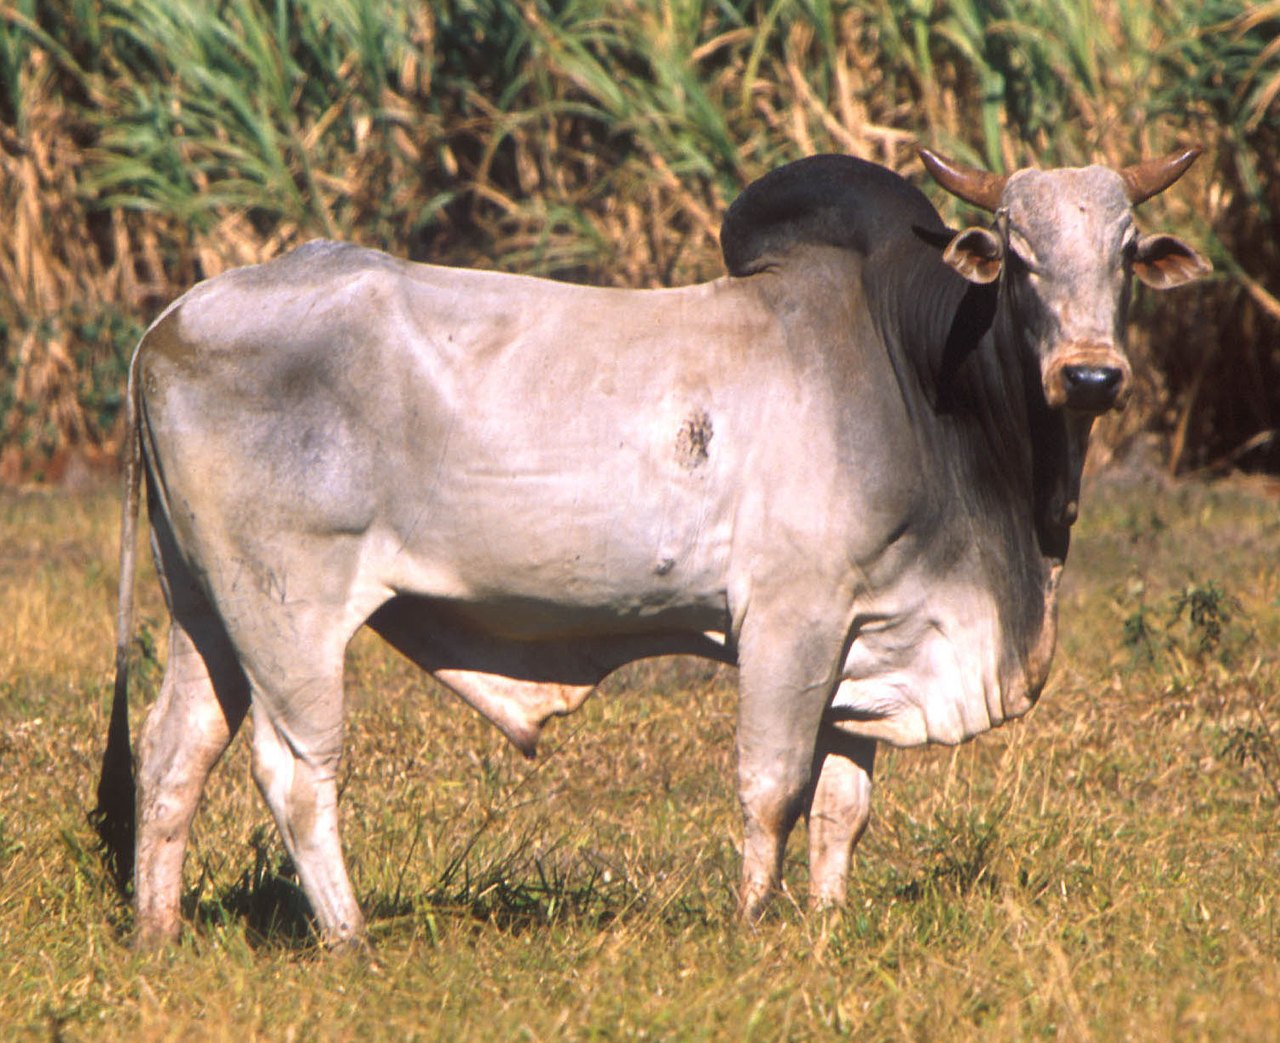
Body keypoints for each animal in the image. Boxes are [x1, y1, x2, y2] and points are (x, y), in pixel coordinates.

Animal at [95, 147, 1211, 949]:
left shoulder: (869, 636)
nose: (1092, 374)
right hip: (288, 605)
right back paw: (349, 937)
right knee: (297, 768)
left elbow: (842, 806)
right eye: (1018, 259)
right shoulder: (792, 618)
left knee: (174, 751)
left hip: (205, 605)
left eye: (1122, 256)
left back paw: (158, 933)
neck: (916, 374)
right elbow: (772, 786)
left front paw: (823, 928)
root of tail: (170, 320)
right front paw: (752, 929)